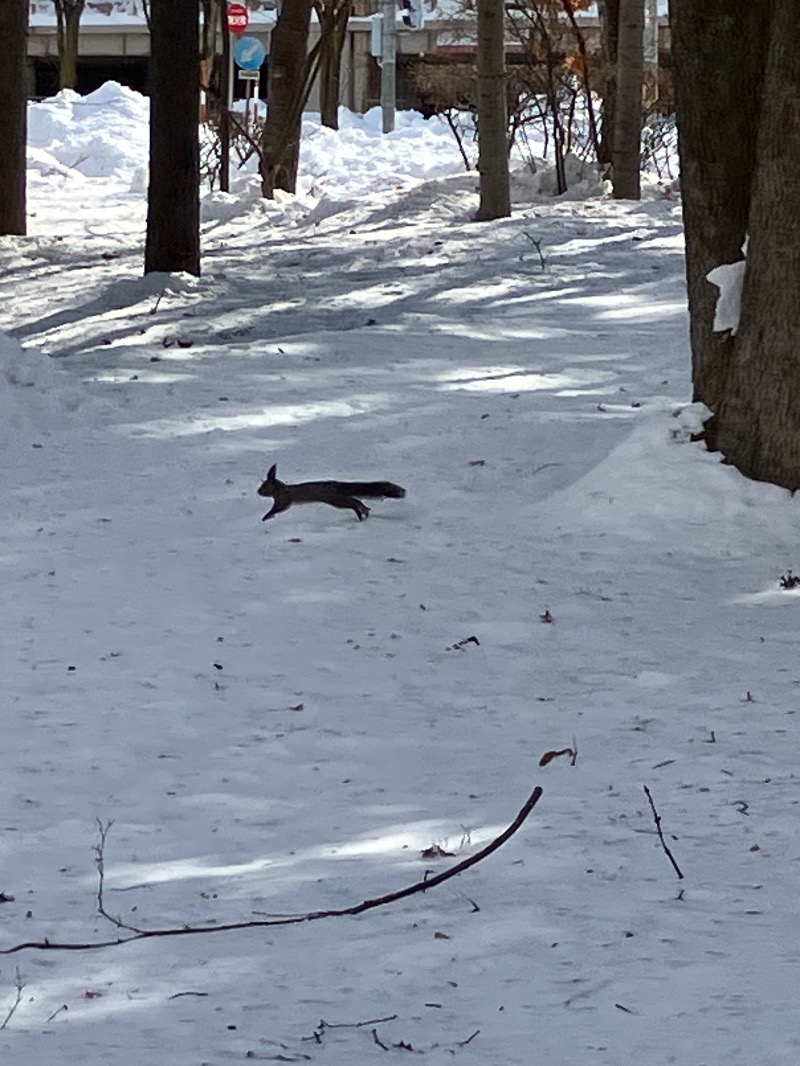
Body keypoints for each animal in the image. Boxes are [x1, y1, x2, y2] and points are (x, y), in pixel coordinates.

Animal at [257, 462, 407, 520]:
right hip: (338, 499)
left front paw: (265, 517)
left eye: (264, 487)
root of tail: (336, 485)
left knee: (354, 503)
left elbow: (276, 509)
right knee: (356, 501)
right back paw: (365, 511)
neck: (280, 489)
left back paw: (361, 512)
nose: (258, 492)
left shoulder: (283, 500)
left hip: (335, 500)